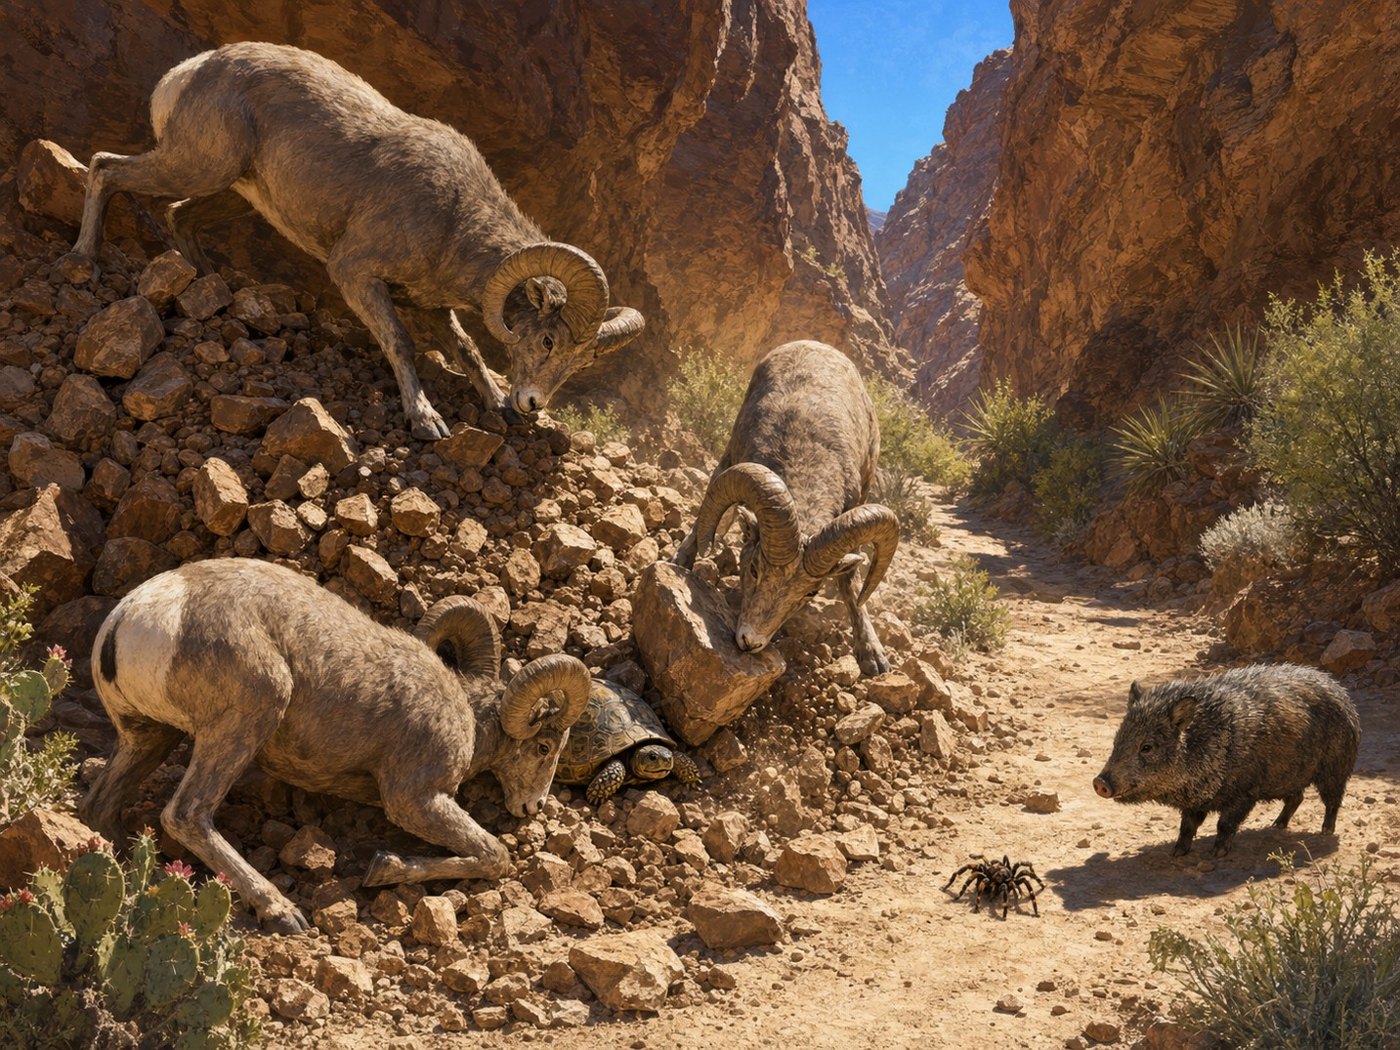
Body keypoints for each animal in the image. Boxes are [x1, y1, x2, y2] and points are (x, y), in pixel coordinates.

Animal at [67, 41, 645, 440]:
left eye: (580, 364)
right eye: (548, 341)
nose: (531, 405)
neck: (452, 218)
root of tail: (187, 73)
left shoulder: (430, 305)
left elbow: (467, 350)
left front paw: (497, 405)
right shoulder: (355, 273)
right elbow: (402, 344)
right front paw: (427, 422)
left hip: (231, 189)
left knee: (179, 217)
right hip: (197, 165)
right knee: (105, 169)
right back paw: (82, 262)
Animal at [79, 558, 590, 934]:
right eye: (545, 748)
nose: (532, 807)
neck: (464, 711)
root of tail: (134, 619)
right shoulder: (415, 799)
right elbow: (494, 855)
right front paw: (383, 868)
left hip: (147, 737)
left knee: (99, 808)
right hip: (251, 713)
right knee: (186, 815)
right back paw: (282, 912)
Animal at [674, 340, 899, 676]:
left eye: (810, 593)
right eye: (753, 569)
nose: (750, 641)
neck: (804, 457)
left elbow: (850, 583)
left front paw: (873, 656)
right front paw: (682, 560)